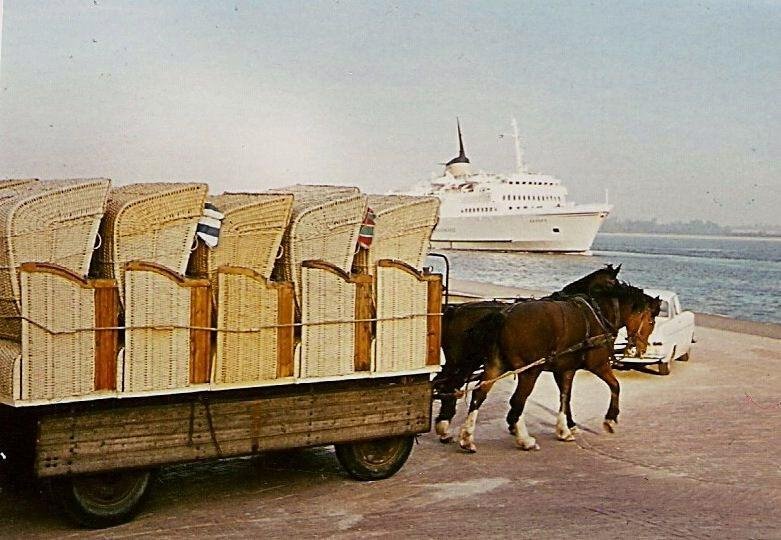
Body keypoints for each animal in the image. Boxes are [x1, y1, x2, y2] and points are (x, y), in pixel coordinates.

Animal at [430, 264, 620, 440]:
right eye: (614, 283)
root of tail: (454, 310)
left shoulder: (563, 366)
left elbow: (565, 395)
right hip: (469, 362)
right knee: (451, 386)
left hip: (465, 362)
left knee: (449, 385)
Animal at [458, 280, 660, 454]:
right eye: (651, 322)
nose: (642, 348)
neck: (599, 314)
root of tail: (504, 315)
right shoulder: (599, 364)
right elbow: (615, 385)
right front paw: (610, 419)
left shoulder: (564, 369)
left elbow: (565, 396)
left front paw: (564, 429)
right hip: (530, 371)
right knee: (517, 401)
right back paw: (524, 439)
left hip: (496, 365)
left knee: (479, 395)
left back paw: (467, 437)